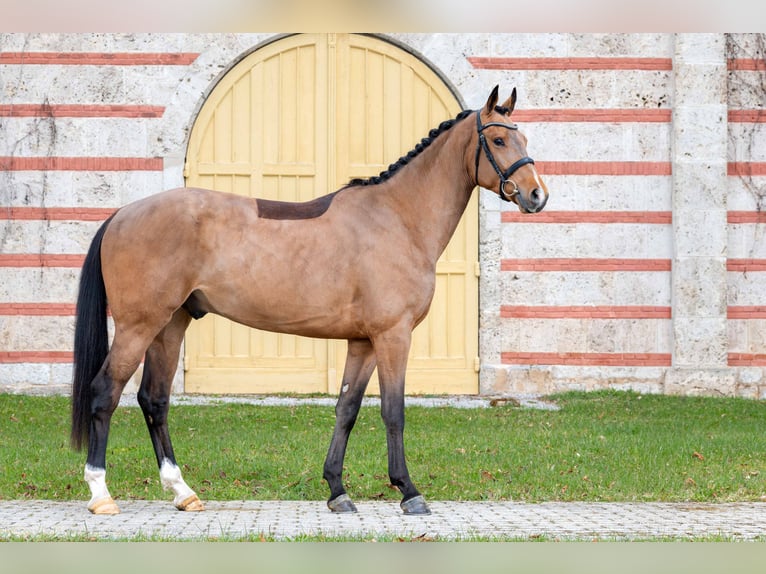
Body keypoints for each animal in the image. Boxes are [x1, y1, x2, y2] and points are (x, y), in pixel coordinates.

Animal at [70, 85, 548, 516]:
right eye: (499, 140)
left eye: (525, 138)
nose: (537, 195)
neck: (398, 218)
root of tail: (121, 215)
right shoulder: (393, 336)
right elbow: (393, 411)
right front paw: (409, 492)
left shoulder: (363, 342)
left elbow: (346, 409)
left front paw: (337, 490)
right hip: (139, 325)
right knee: (105, 392)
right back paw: (101, 494)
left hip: (171, 324)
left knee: (154, 399)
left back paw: (182, 492)